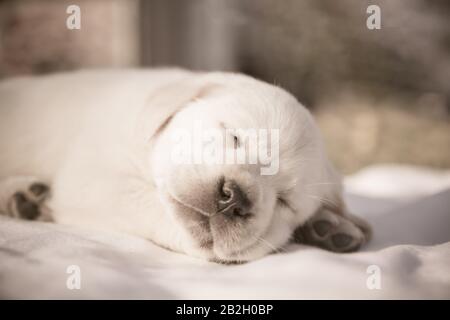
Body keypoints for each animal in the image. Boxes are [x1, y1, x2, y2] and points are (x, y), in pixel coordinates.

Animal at [0, 69, 370, 262]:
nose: (235, 198)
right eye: (234, 136)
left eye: (285, 202)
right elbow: (148, 204)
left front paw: (332, 224)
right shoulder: (91, 179)